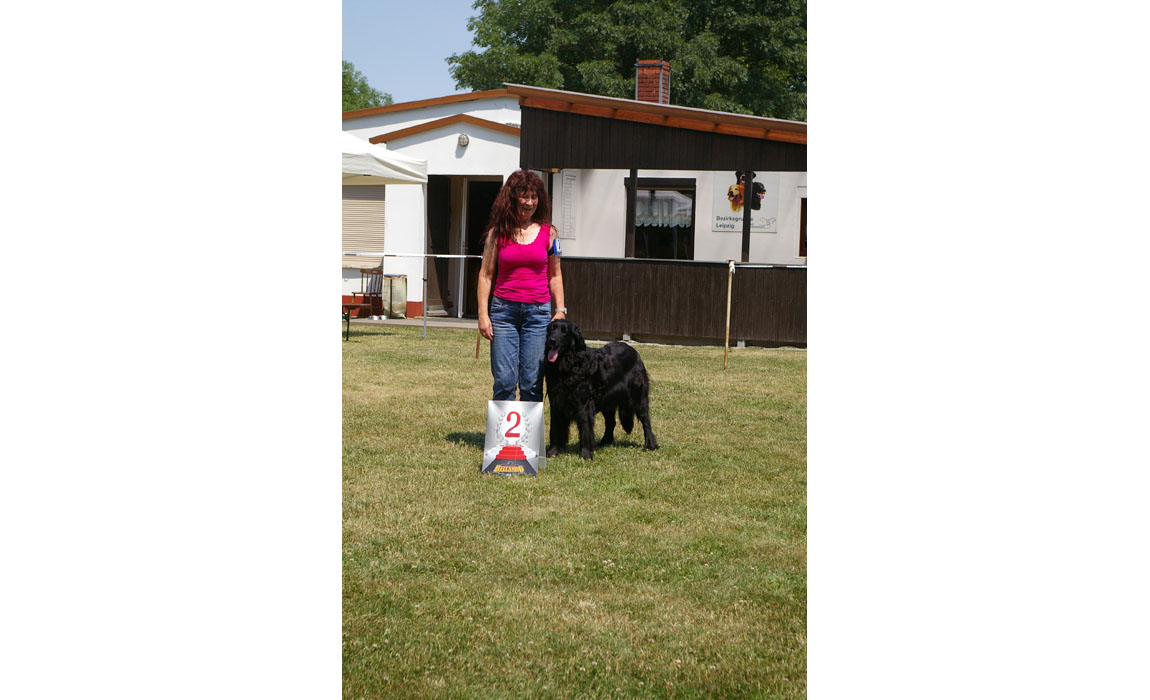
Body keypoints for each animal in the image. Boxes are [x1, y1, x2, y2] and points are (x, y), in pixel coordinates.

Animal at [540, 317, 657, 459]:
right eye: (552, 329)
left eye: (564, 332)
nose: (552, 340)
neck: (569, 365)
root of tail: (634, 351)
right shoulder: (556, 402)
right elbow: (555, 428)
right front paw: (553, 452)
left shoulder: (583, 404)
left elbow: (585, 429)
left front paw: (585, 454)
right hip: (607, 401)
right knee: (611, 422)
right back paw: (605, 441)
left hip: (638, 397)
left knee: (646, 421)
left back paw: (650, 445)